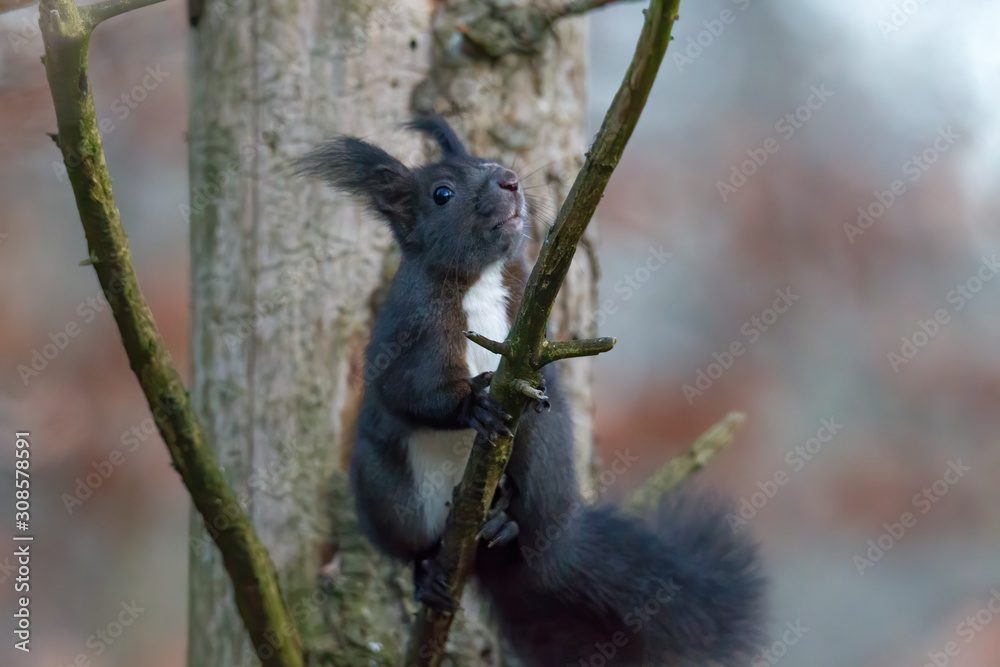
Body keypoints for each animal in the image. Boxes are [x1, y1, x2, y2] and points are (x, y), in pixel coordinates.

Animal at [298, 116, 767, 667]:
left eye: (491, 161)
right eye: (441, 193)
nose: (510, 181)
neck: (480, 279)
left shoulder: (532, 322)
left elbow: (545, 371)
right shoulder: (403, 331)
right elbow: (404, 389)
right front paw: (471, 403)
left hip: (544, 458)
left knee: (528, 506)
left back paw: (505, 522)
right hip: (389, 497)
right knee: (414, 545)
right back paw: (428, 573)